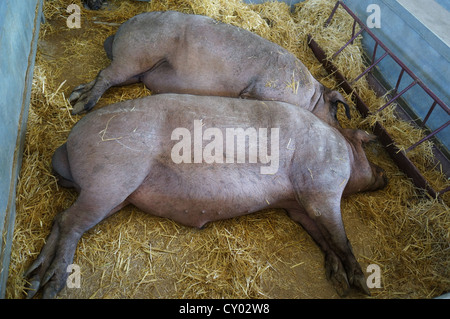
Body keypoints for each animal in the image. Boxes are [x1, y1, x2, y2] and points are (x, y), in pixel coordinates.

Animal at [24, 94, 384, 298]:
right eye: (368, 152)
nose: (385, 175)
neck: (342, 151)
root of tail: (69, 142)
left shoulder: (297, 206)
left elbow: (323, 237)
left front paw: (338, 280)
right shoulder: (321, 188)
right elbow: (339, 235)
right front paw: (361, 284)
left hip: (116, 196)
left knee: (61, 219)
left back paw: (32, 280)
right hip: (111, 177)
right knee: (70, 222)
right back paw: (51, 286)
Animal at [68, 11, 352, 129]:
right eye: (336, 112)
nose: (339, 129)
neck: (309, 97)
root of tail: (122, 27)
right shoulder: (263, 91)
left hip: (132, 70)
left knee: (100, 76)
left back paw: (73, 96)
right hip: (135, 56)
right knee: (105, 76)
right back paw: (79, 108)